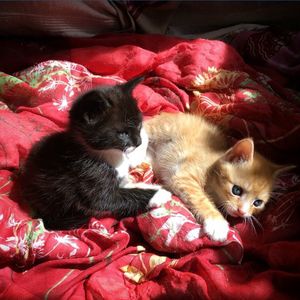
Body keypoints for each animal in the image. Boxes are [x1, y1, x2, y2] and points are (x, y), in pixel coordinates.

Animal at [19, 77, 170, 230]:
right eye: (123, 133)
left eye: (139, 125)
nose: (138, 142)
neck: (110, 153)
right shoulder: (89, 176)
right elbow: (109, 199)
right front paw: (160, 194)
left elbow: (126, 186)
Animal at [144, 112, 292, 241]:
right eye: (236, 190)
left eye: (257, 203)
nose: (242, 212)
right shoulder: (183, 176)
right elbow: (201, 198)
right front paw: (217, 223)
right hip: (159, 129)